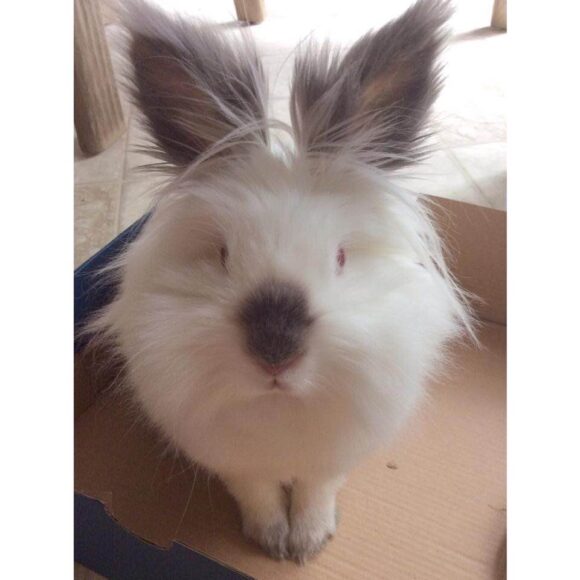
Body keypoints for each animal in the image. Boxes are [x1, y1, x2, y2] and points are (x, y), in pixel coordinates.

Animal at [90, 0, 473, 564]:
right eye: (223, 254)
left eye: (340, 257)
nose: (275, 351)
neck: (280, 409)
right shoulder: (232, 458)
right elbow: (257, 491)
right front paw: (270, 539)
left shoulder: (332, 456)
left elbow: (316, 490)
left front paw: (308, 543)